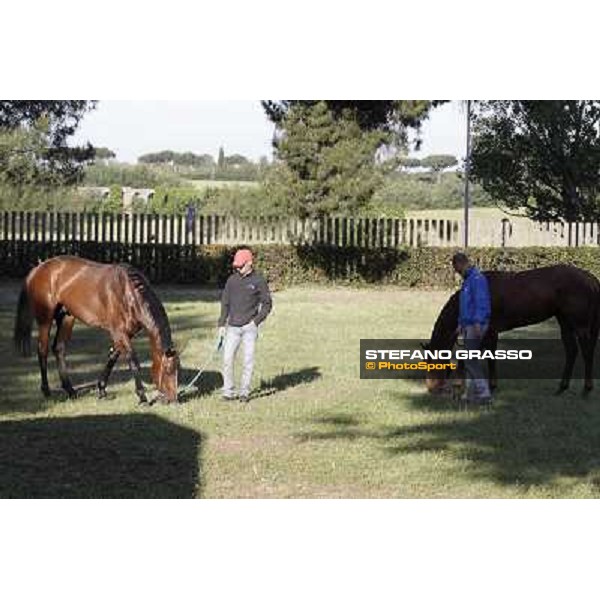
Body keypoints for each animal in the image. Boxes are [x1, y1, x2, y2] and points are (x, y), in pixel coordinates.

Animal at [13, 256, 178, 404]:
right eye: (168, 370)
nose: (173, 400)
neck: (127, 292)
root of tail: (38, 268)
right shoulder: (119, 332)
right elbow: (132, 360)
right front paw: (142, 397)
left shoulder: (126, 334)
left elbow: (113, 356)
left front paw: (102, 389)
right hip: (45, 319)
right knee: (42, 350)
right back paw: (46, 390)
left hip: (67, 318)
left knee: (59, 348)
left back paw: (70, 391)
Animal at [424, 264, 600, 396]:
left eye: (434, 363)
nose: (431, 388)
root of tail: (590, 278)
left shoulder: (489, 331)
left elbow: (485, 356)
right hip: (564, 321)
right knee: (571, 350)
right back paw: (562, 387)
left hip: (580, 325)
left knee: (587, 351)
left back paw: (586, 388)